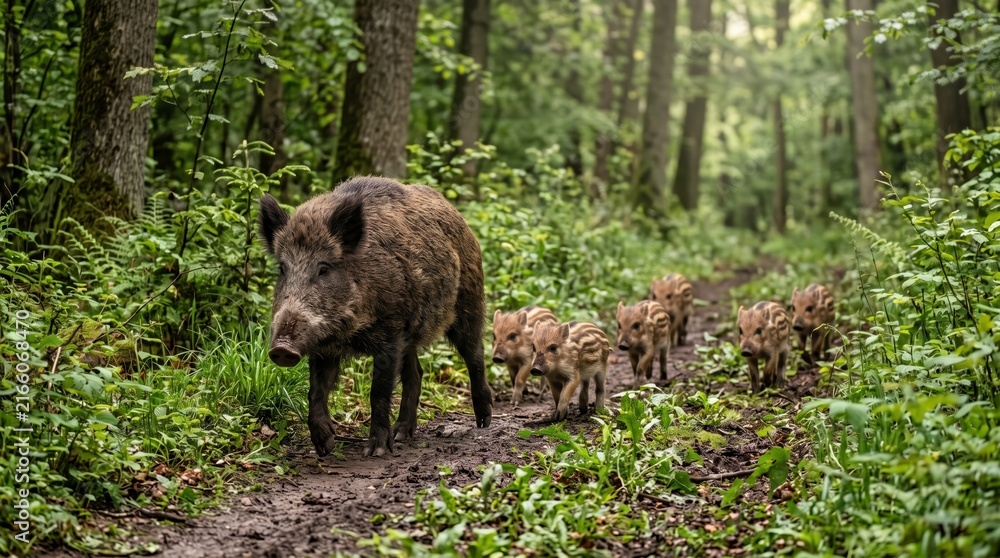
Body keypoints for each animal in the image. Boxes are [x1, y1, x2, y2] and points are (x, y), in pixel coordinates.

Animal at [258, 177, 493, 457]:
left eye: (323, 269)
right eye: (282, 269)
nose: (282, 348)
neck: (350, 331)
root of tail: (458, 216)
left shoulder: (390, 334)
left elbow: (378, 391)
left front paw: (376, 451)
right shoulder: (326, 346)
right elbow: (315, 389)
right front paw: (325, 446)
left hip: (469, 301)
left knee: (475, 354)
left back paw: (483, 421)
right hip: (411, 333)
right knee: (416, 373)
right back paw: (402, 434)